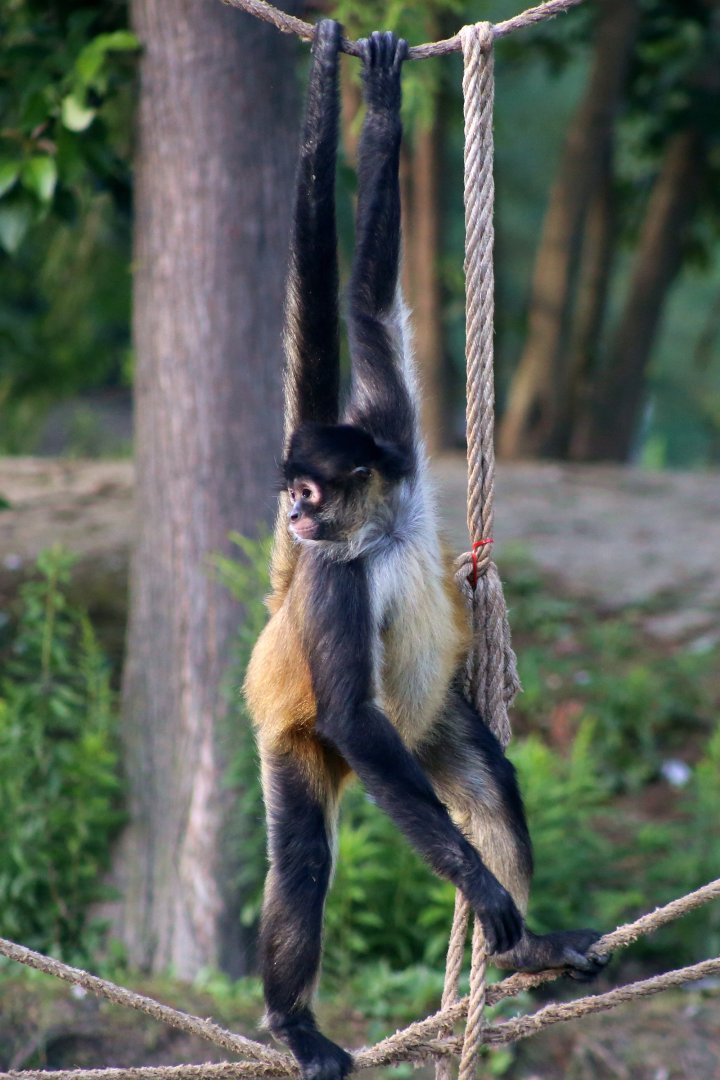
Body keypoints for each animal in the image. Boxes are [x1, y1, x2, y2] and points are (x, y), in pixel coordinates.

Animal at [244, 22, 606, 1080]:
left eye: (309, 490)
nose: (294, 519)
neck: (375, 530)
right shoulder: (333, 584)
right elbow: (352, 714)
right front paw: (483, 892)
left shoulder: (392, 436)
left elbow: (367, 303)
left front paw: (380, 104)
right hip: (299, 736)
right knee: (308, 851)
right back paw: (294, 1025)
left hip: (430, 725)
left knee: (484, 774)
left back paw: (525, 948)